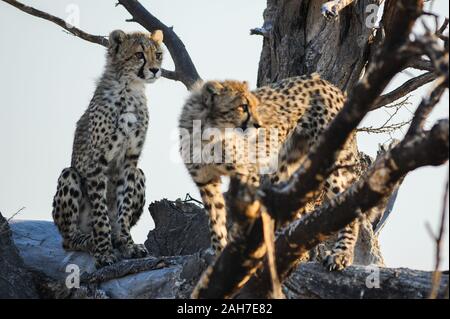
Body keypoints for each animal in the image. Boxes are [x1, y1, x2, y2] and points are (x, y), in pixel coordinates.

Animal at [51, 30, 163, 270]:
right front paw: (103, 252)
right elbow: (100, 213)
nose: (155, 70)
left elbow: (124, 207)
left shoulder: (130, 162)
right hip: (69, 175)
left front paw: (127, 244)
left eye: (158, 54)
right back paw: (88, 239)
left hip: (140, 174)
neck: (131, 89)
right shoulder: (97, 162)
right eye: (139, 54)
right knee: (67, 239)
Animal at [179, 75, 362, 272]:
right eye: (243, 106)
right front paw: (219, 253)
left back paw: (341, 254)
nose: (259, 125)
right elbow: (216, 219)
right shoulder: (206, 181)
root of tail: (328, 84)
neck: (208, 132)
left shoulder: (247, 172)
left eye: (254, 105)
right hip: (285, 166)